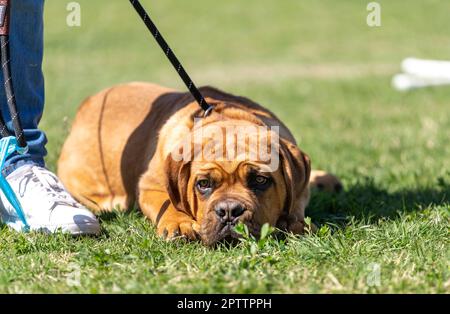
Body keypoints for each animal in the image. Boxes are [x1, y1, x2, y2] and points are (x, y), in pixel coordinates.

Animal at [58, 83, 342, 245]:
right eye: (203, 184)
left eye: (260, 180)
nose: (230, 211)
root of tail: (88, 102)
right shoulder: (150, 186)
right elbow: (168, 203)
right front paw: (179, 223)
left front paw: (295, 222)